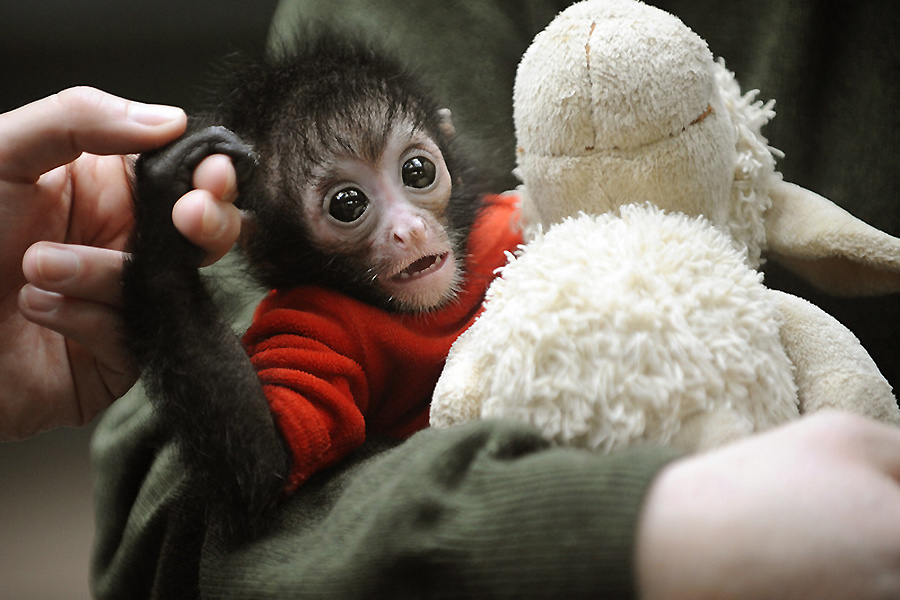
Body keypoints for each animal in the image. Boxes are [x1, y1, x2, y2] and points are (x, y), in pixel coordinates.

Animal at [123, 34, 524, 540]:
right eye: (347, 204)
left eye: (417, 171)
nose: (409, 230)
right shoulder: (308, 313)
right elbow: (270, 461)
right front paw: (163, 207)